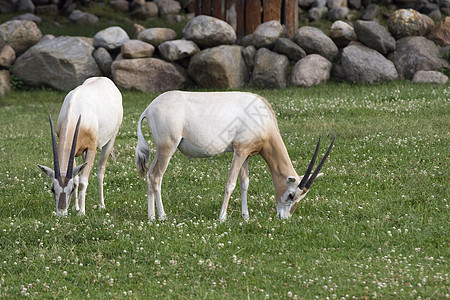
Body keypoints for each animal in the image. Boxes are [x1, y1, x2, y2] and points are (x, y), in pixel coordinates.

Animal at [38, 76, 123, 214]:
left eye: (71, 190)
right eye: (52, 189)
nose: (61, 212)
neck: (74, 112)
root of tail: (105, 79)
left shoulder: (91, 148)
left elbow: (83, 181)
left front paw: (81, 212)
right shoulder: (73, 151)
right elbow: (76, 179)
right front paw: (75, 207)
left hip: (111, 139)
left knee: (101, 170)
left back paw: (101, 205)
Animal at [135, 91, 332, 220]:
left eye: (300, 198)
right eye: (291, 195)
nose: (284, 217)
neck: (262, 118)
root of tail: (149, 108)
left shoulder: (247, 153)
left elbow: (245, 183)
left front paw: (245, 216)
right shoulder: (239, 150)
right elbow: (230, 183)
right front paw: (222, 218)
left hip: (160, 149)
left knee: (149, 176)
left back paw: (151, 217)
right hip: (168, 147)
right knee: (156, 177)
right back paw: (162, 216)